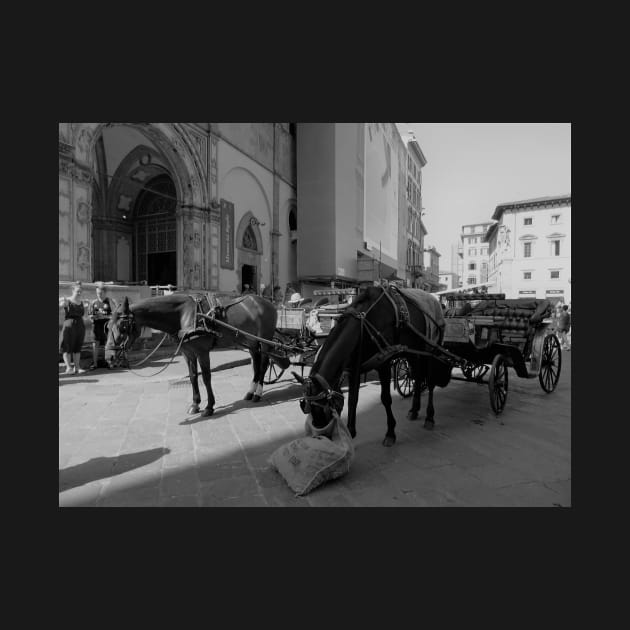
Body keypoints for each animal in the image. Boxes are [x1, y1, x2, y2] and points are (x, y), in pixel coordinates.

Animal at [108, 294, 278, 418]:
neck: (185, 315)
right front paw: (195, 404)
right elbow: (193, 376)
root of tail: (269, 303)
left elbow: (206, 377)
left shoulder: (202, 352)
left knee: (264, 364)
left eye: (123, 327)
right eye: (107, 327)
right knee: (256, 364)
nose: (109, 357)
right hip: (251, 342)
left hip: (265, 341)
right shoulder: (187, 353)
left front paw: (209, 407)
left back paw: (258, 393)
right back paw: (250, 392)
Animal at [298, 286, 452, 450]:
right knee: (416, 377)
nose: (323, 438)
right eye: (308, 409)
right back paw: (414, 410)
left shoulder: (384, 363)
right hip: (413, 352)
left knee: (430, 381)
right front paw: (351, 432)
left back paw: (429, 416)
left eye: (326, 409)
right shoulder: (353, 367)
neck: (364, 324)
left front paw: (390, 433)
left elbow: (386, 399)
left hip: (431, 348)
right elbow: (353, 399)